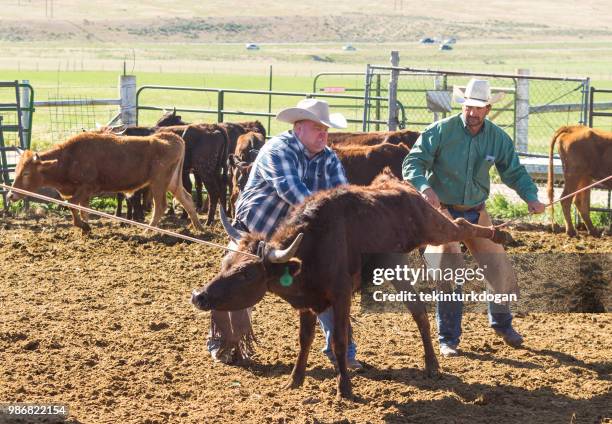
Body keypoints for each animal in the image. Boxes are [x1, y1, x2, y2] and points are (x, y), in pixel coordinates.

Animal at [7, 132, 203, 234]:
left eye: (26, 173)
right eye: (15, 171)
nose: (10, 195)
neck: (70, 157)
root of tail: (172, 137)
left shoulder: (87, 187)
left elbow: (71, 204)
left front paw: (83, 225)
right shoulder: (83, 193)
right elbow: (82, 209)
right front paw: (85, 227)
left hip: (159, 182)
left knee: (161, 206)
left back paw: (147, 231)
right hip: (172, 182)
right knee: (186, 199)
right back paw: (198, 227)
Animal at [191, 171, 512, 400]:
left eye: (247, 273)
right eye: (226, 263)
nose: (199, 296)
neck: (311, 248)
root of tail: (395, 182)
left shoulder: (341, 296)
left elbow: (339, 340)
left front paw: (344, 388)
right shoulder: (306, 302)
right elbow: (304, 339)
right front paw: (295, 380)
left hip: (433, 226)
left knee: (461, 224)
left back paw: (501, 234)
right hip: (393, 266)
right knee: (419, 310)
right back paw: (431, 365)